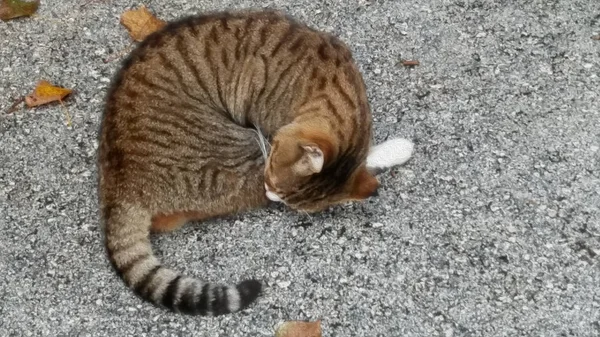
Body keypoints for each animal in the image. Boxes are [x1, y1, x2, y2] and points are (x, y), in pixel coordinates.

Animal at [98, 9, 414, 316]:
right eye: (272, 178)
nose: (272, 194)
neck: (330, 80)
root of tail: (119, 189)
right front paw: (395, 149)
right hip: (239, 153)